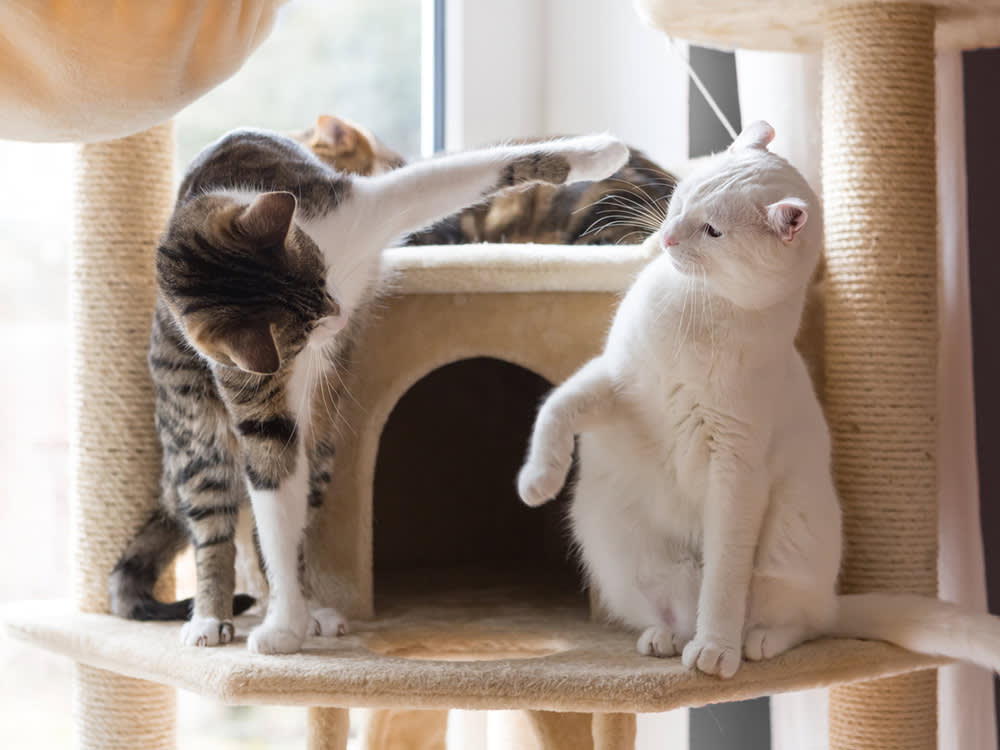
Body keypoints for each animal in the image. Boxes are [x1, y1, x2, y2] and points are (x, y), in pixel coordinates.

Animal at [107, 126, 624, 656]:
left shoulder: (354, 207)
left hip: (320, 451)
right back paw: (212, 615)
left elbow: (472, 173)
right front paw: (283, 624)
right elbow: (272, 486)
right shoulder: (255, 385)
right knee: (215, 526)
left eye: (320, 273)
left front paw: (599, 152)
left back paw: (311, 608)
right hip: (196, 432)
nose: (337, 320)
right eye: (301, 332)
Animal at [520, 122, 1000, 680]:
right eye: (685, 198)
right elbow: (556, 408)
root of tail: (832, 600)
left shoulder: (736, 466)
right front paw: (537, 481)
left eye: (712, 231)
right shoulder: (617, 382)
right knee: (675, 608)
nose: (669, 235)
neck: (698, 307)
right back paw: (664, 637)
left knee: (799, 621)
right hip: (613, 542)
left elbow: (725, 578)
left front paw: (715, 649)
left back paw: (754, 642)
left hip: (790, 546)